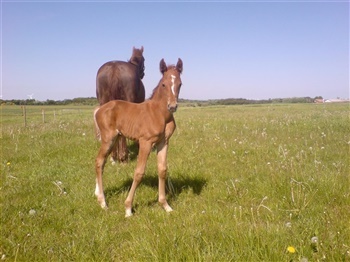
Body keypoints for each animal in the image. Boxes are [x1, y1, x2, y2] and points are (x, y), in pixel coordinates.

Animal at [95, 58, 183, 217]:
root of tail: (100, 109)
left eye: (180, 84)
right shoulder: (145, 142)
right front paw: (128, 208)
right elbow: (139, 172)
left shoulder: (163, 142)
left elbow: (162, 170)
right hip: (108, 138)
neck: (159, 113)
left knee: (101, 162)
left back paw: (98, 194)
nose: (172, 106)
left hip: (115, 138)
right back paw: (103, 202)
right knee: (99, 162)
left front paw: (165, 205)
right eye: (163, 84)